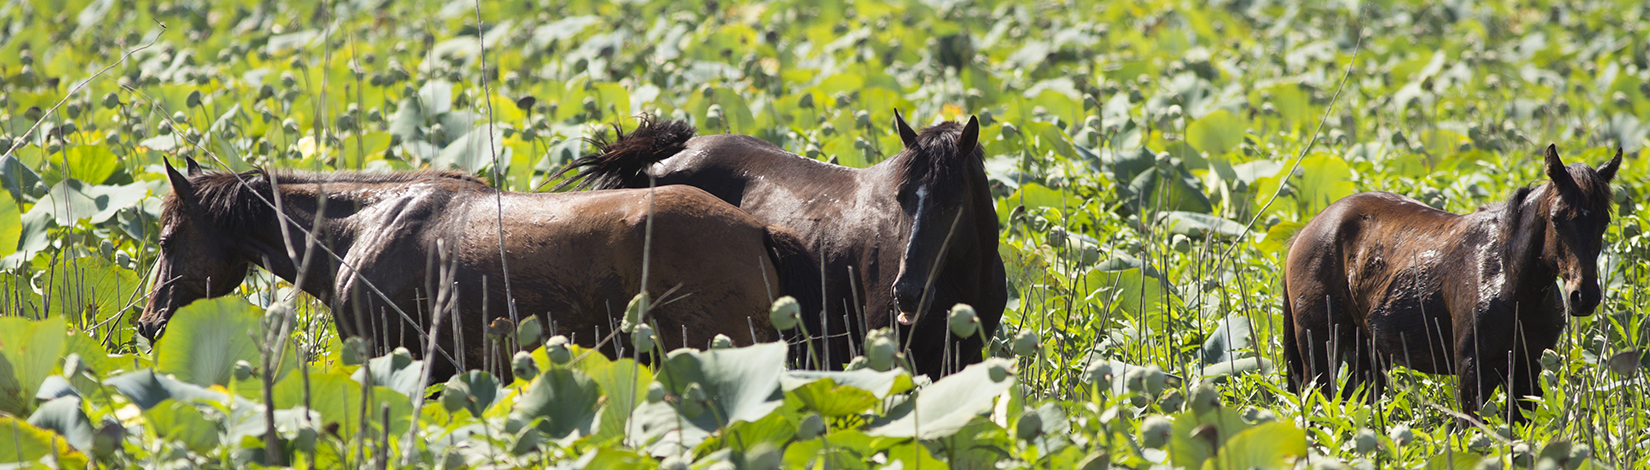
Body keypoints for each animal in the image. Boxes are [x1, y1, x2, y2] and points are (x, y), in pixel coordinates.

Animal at [1282, 144, 1621, 421]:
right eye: (1557, 218)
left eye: (1604, 220)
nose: (1584, 296)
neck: (1508, 274)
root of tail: (1308, 229)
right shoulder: (1472, 369)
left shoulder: (1528, 369)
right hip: (1319, 350)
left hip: (1367, 353)